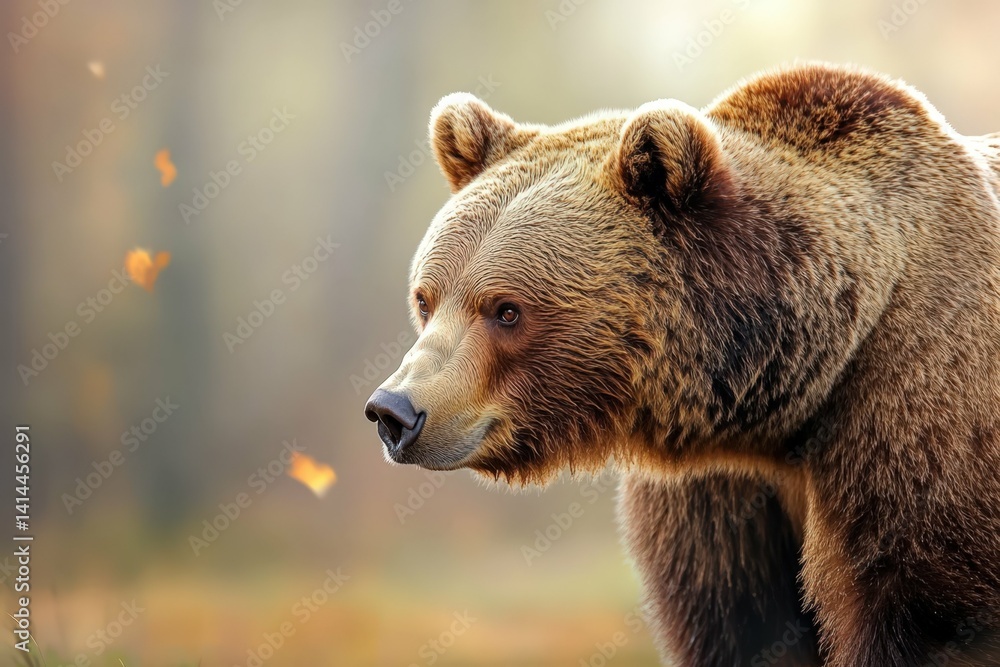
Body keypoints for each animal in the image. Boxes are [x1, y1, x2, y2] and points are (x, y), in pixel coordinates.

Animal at [364, 63, 1000, 666]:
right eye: (427, 298)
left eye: (506, 310)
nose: (395, 411)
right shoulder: (718, 501)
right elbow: (740, 628)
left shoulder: (918, 423)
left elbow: (927, 615)